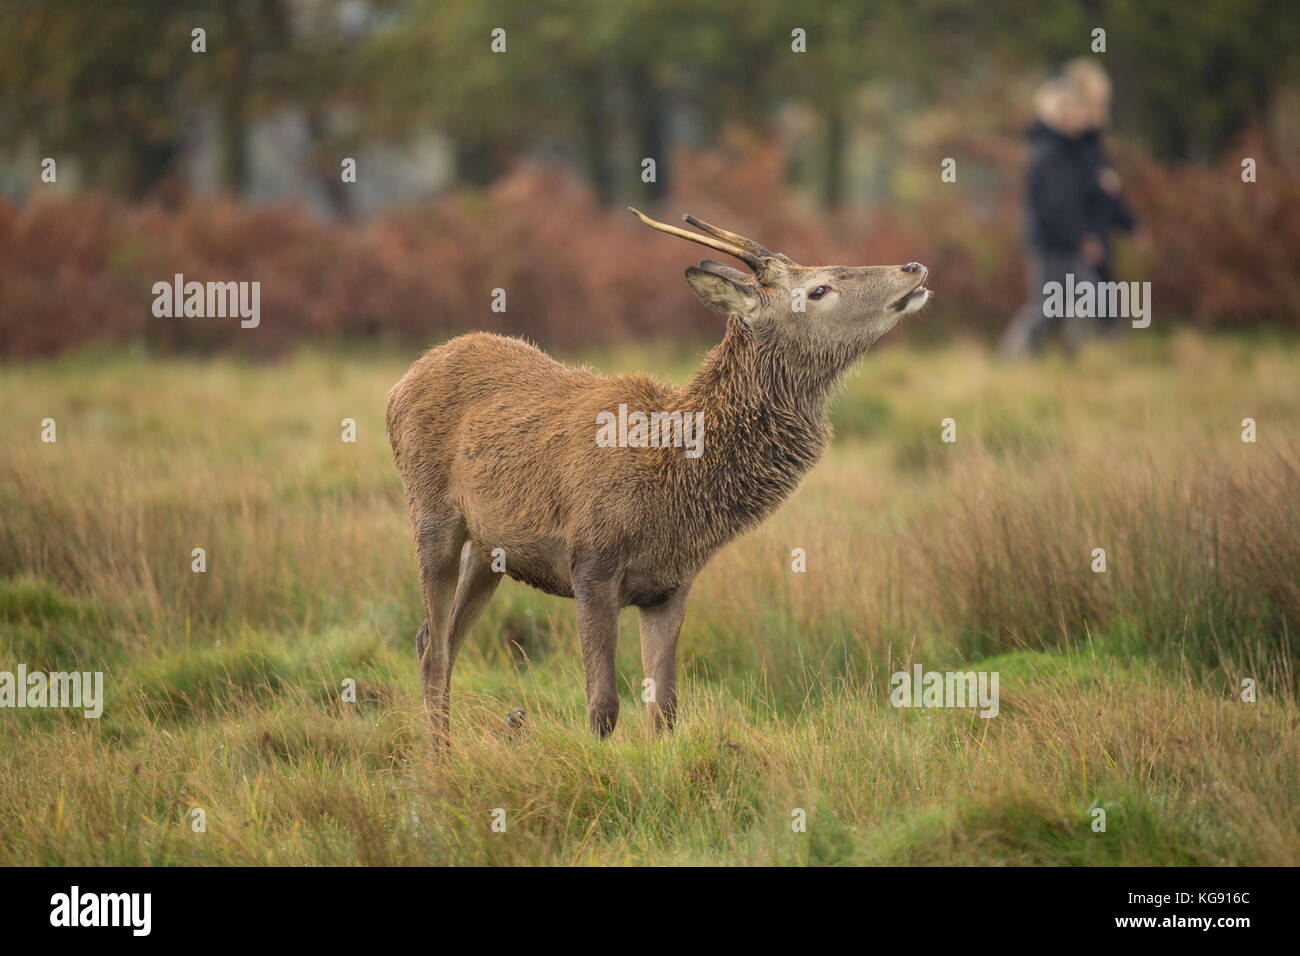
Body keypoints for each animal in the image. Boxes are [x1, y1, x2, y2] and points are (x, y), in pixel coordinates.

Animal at [386, 208, 931, 745]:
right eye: (818, 289)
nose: (913, 267)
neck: (671, 484)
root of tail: (401, 381)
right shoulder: (591, 562)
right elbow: (603, 707)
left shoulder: (671, 585)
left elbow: (665, 710)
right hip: (430, 512)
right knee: (434, 644)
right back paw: (439, 757)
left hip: (489, 549)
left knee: (437, 637)